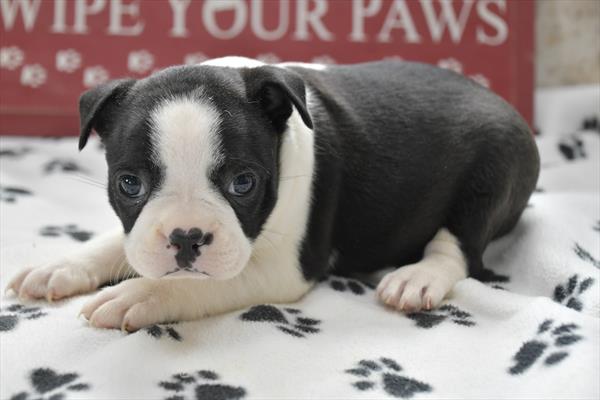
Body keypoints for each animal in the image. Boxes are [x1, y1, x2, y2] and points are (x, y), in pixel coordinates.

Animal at [4, 57, 540, 332]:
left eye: (244, 183)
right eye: (128, 184)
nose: (185, 236)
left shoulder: (282, 268)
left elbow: (201, 282)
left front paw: (138, 293)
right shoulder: (143, 231)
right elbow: (121, 242)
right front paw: (63, 265)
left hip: (492, 176)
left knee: (458, 248)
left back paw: (417, 279)